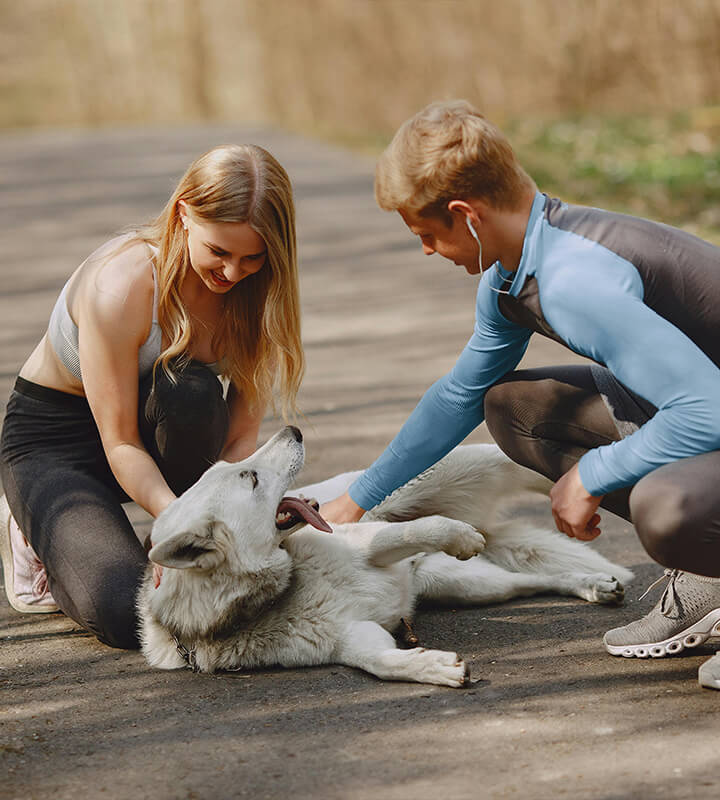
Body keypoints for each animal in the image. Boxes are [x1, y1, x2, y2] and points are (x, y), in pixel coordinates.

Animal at [138, 424, 632, 688]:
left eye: (237, 470)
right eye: (250, 477)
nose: (293, 430)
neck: (285, 587)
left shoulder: (373, 543)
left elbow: (422, 528)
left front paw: (458, 536)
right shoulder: (354, 639)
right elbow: (383, 665)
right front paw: (433, 666)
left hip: (466, 473)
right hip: (470, 587)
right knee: (533, 581)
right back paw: (591, 585)